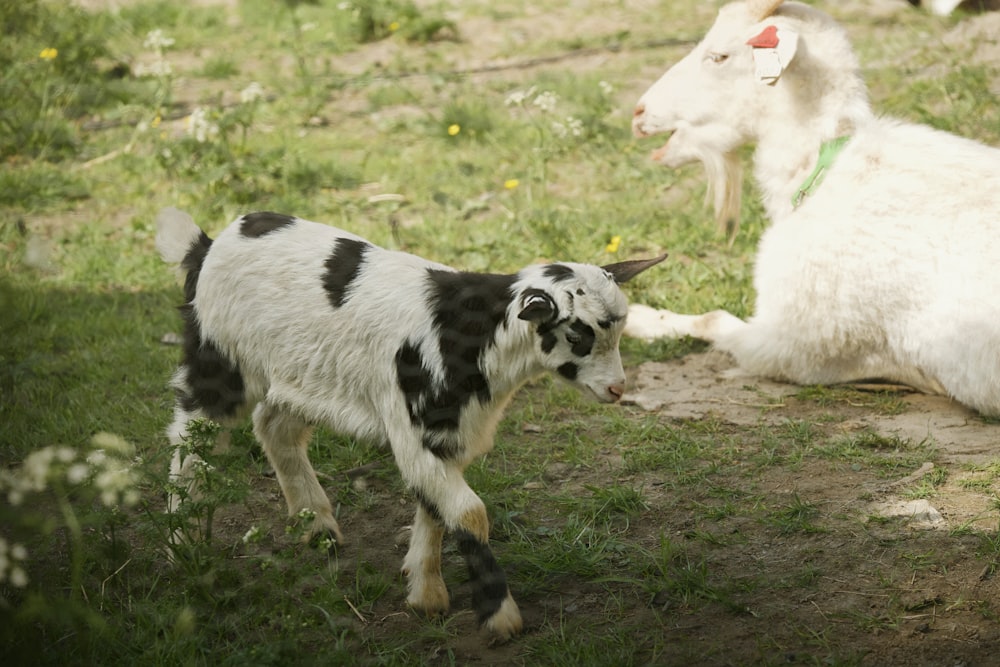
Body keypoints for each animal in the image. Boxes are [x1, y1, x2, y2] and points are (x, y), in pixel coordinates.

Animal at [628, 0, 1000, 418]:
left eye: (719, 56)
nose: (639, 113)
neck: (820, 169)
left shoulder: (792, 344)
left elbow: (713, 320)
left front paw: (638, 318)